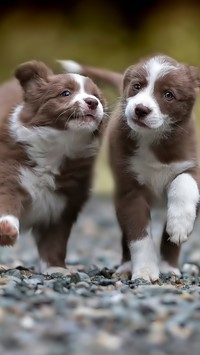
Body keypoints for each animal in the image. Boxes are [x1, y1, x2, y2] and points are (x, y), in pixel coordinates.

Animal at [0, 61, 107, 272]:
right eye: (65, 93)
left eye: (97, 97)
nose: (92, 102)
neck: (57, 149)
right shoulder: (10, 171)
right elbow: (7, 200)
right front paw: (6, 228)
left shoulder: (64, 201)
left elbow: (55, 240)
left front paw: (56, 269)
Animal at [60, 55, 200, 282]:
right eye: (137, 86)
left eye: (168, 94)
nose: (141, 109)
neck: (151, 140)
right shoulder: (129, 191)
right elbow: (138, 236)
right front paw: (144, 271)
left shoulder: (190, 163)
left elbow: (183, 183)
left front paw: (179, 225)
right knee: (125, 237)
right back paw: (126, 266)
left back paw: (169, 266)